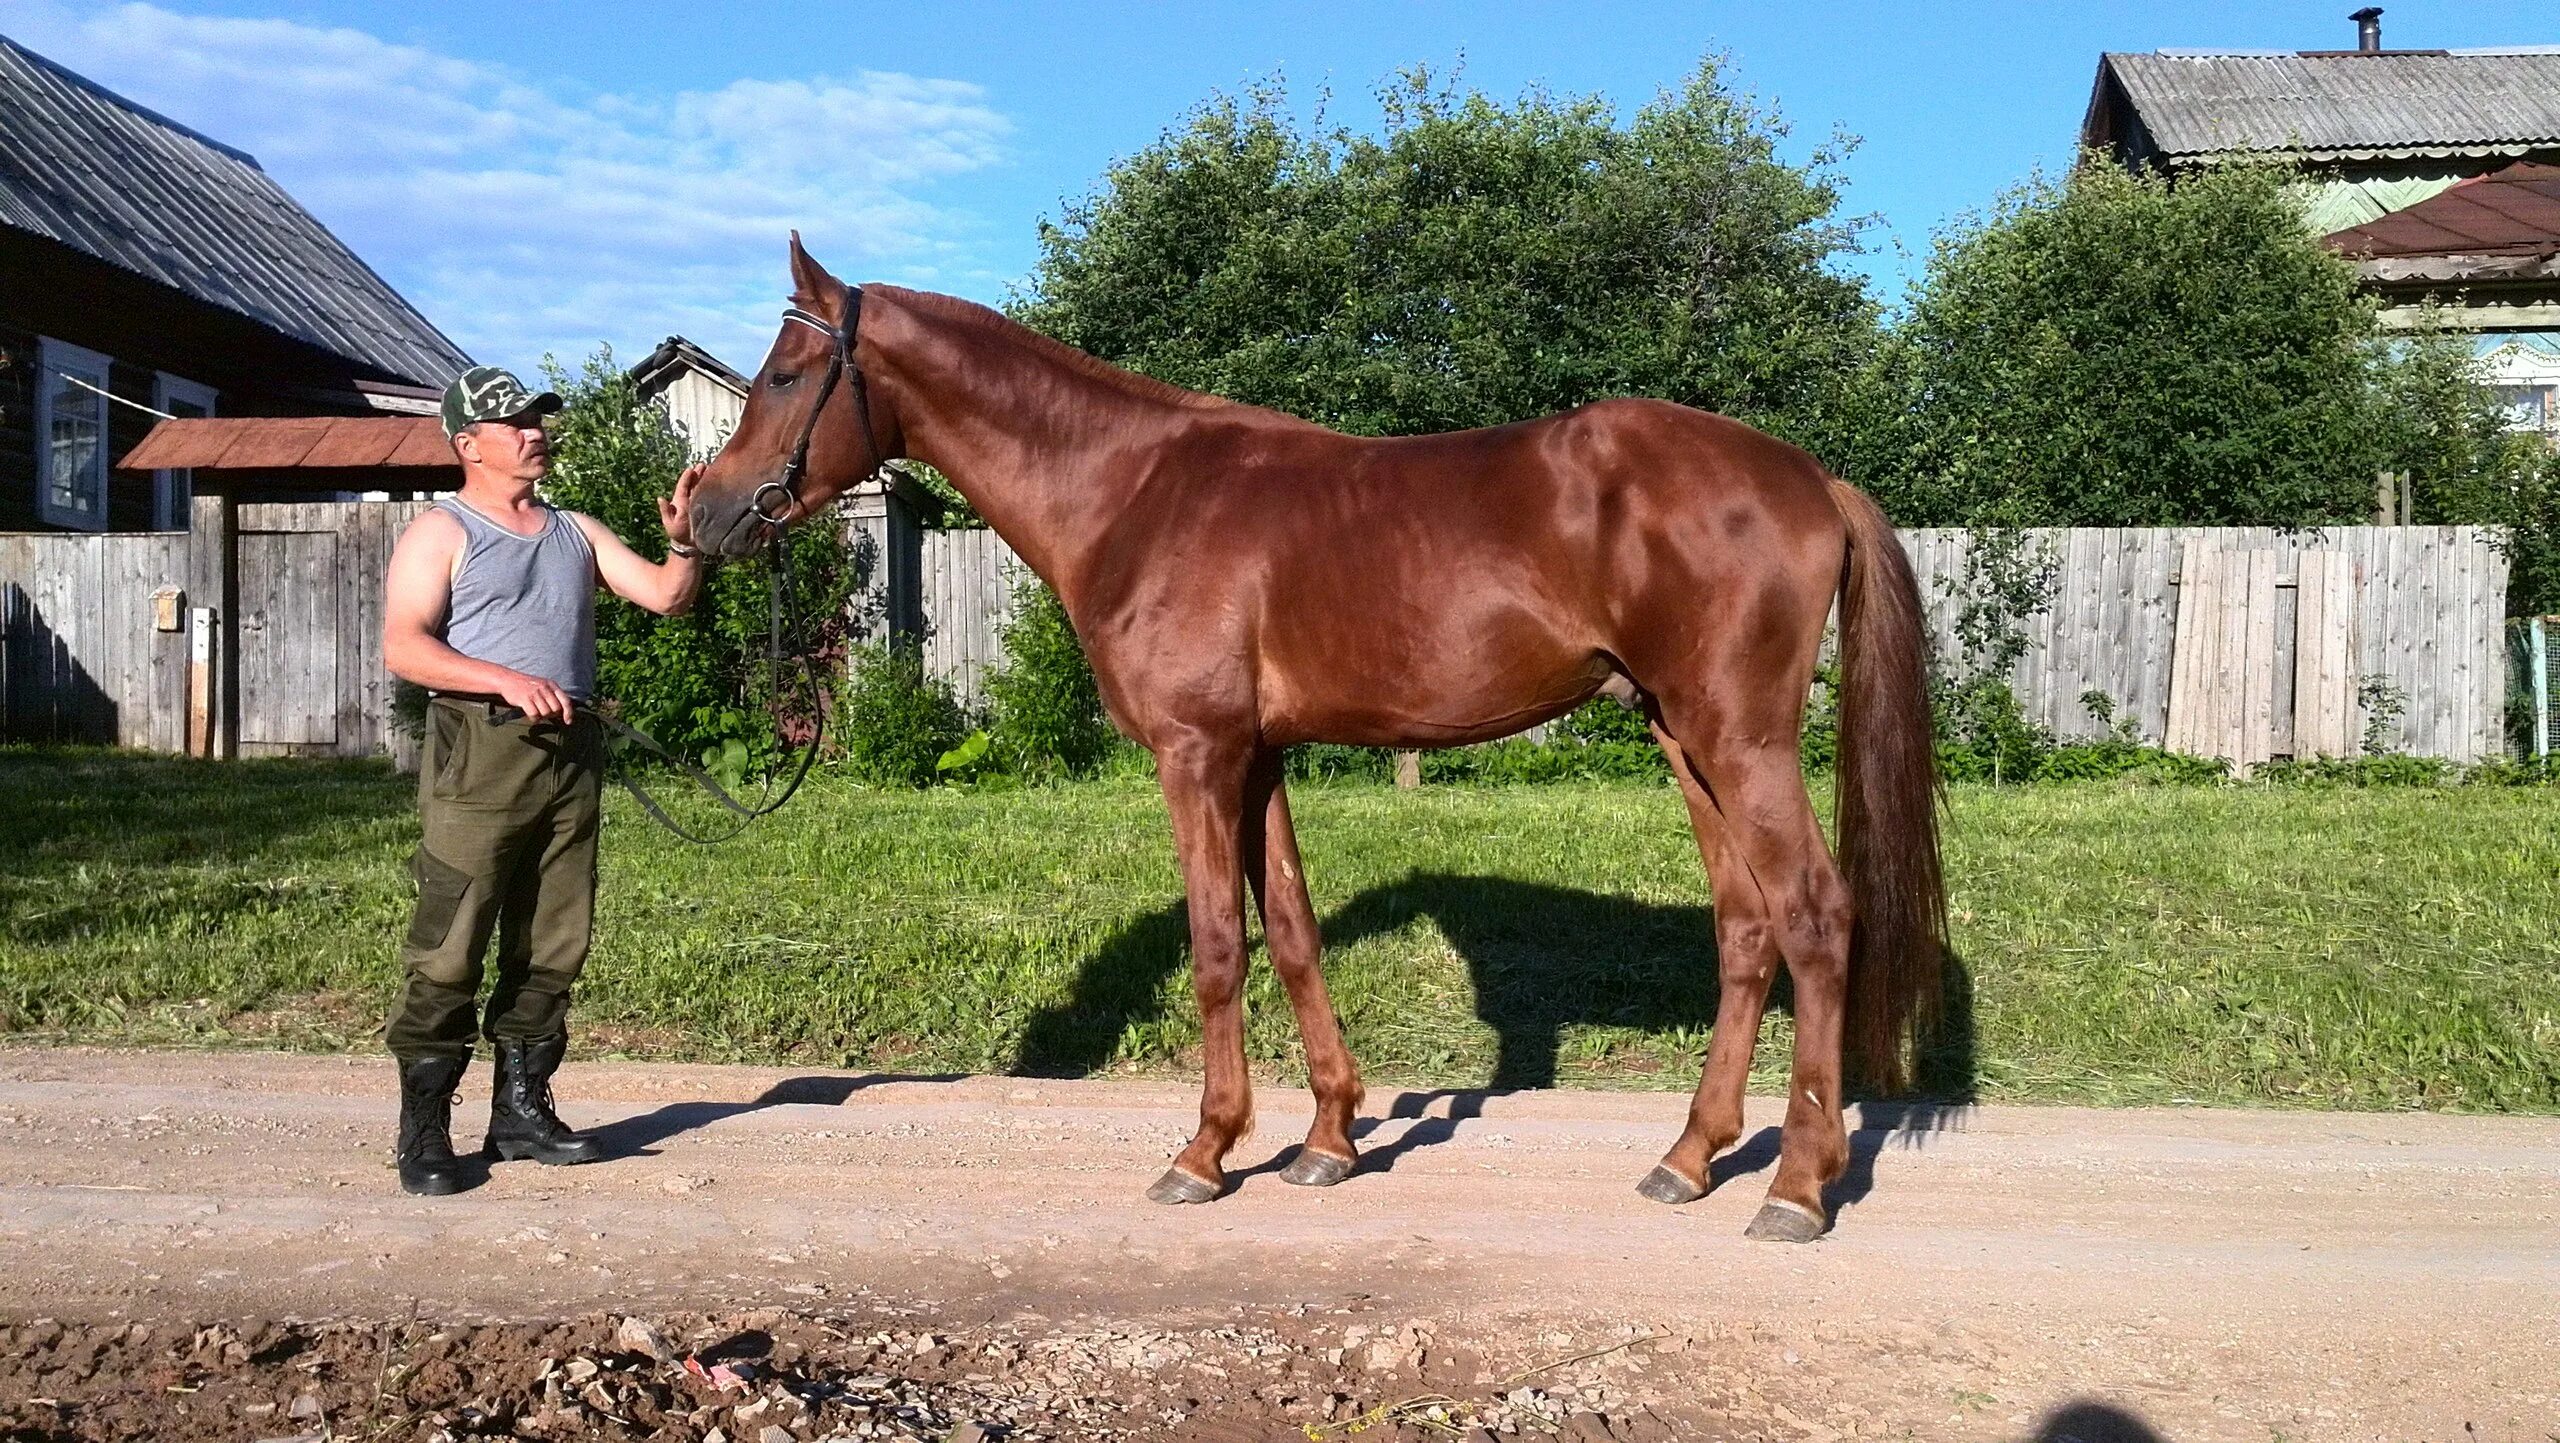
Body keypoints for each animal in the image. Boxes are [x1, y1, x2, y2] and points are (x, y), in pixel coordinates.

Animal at [691, 236, 1925, 1238]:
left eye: (786, 375)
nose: (699, 510)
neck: (1134, 490)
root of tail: (1809, 476)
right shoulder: (1259, 756)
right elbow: (1289, 931)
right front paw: (1329, 1138)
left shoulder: (1196, 755)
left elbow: (1215, 948)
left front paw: (1204, 1151)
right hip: (1683, 739)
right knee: (1745, 930)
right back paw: (1689, 1157)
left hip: (1738, 739)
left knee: (1814, 917)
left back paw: (1796, 1186)